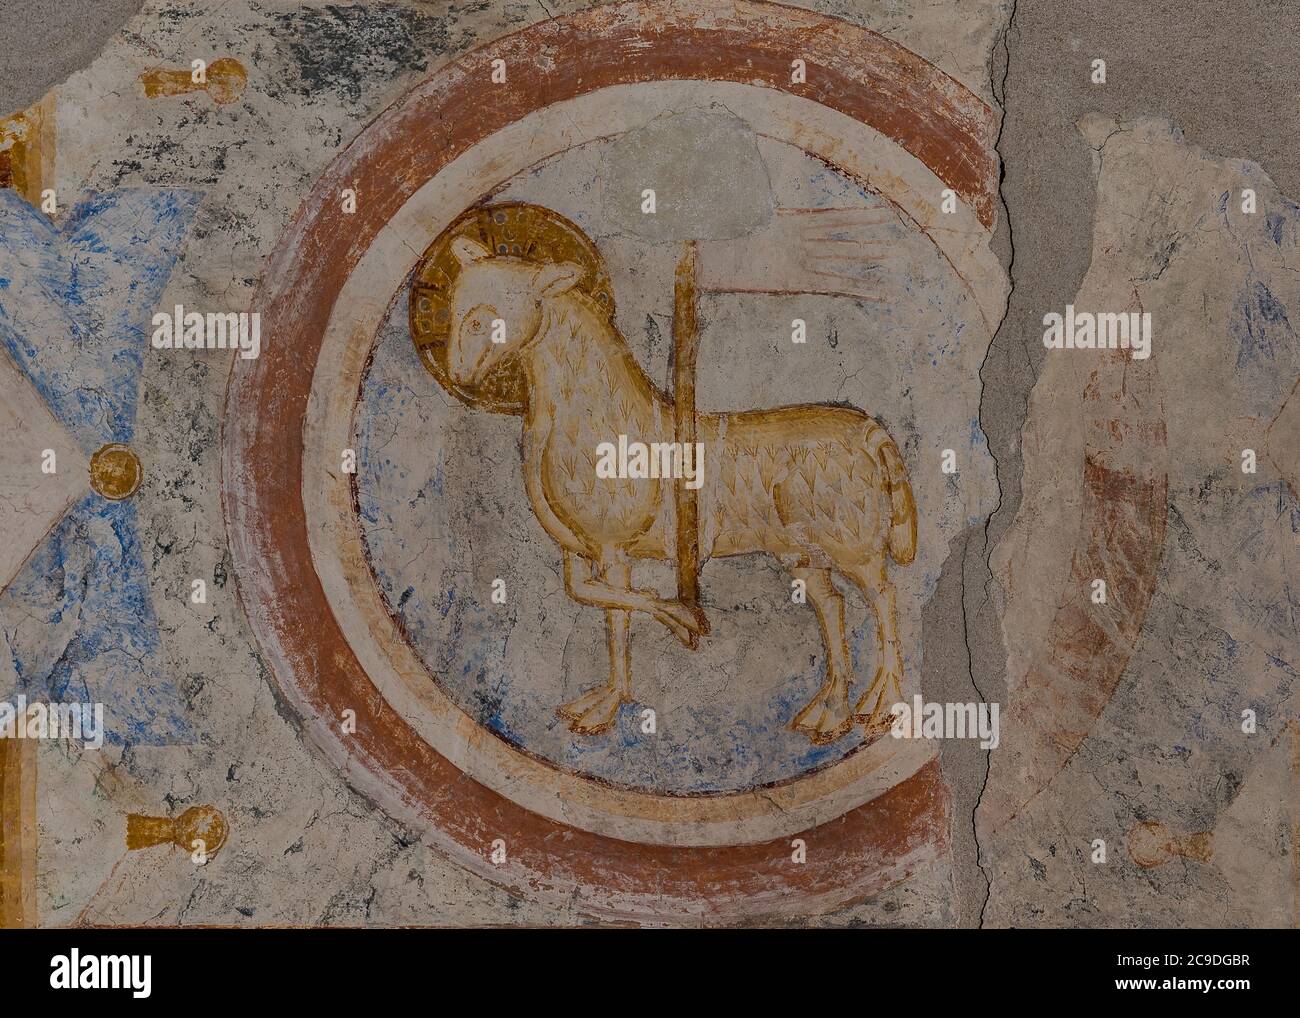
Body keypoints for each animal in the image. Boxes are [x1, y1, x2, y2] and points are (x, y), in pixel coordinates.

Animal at [444, 235, 915, 743]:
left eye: (483, 318)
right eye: (455, 310)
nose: (458, 374)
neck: (593, 415)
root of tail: (868, 431)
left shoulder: (613, 550)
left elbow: (617, 618)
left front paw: (616, 696)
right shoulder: (577, 551)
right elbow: (588, 595)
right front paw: (677, 619)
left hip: (852, 543)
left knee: (884, 597)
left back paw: (883, 701)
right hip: (801, 554)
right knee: (833, 605)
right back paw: (829, 711)